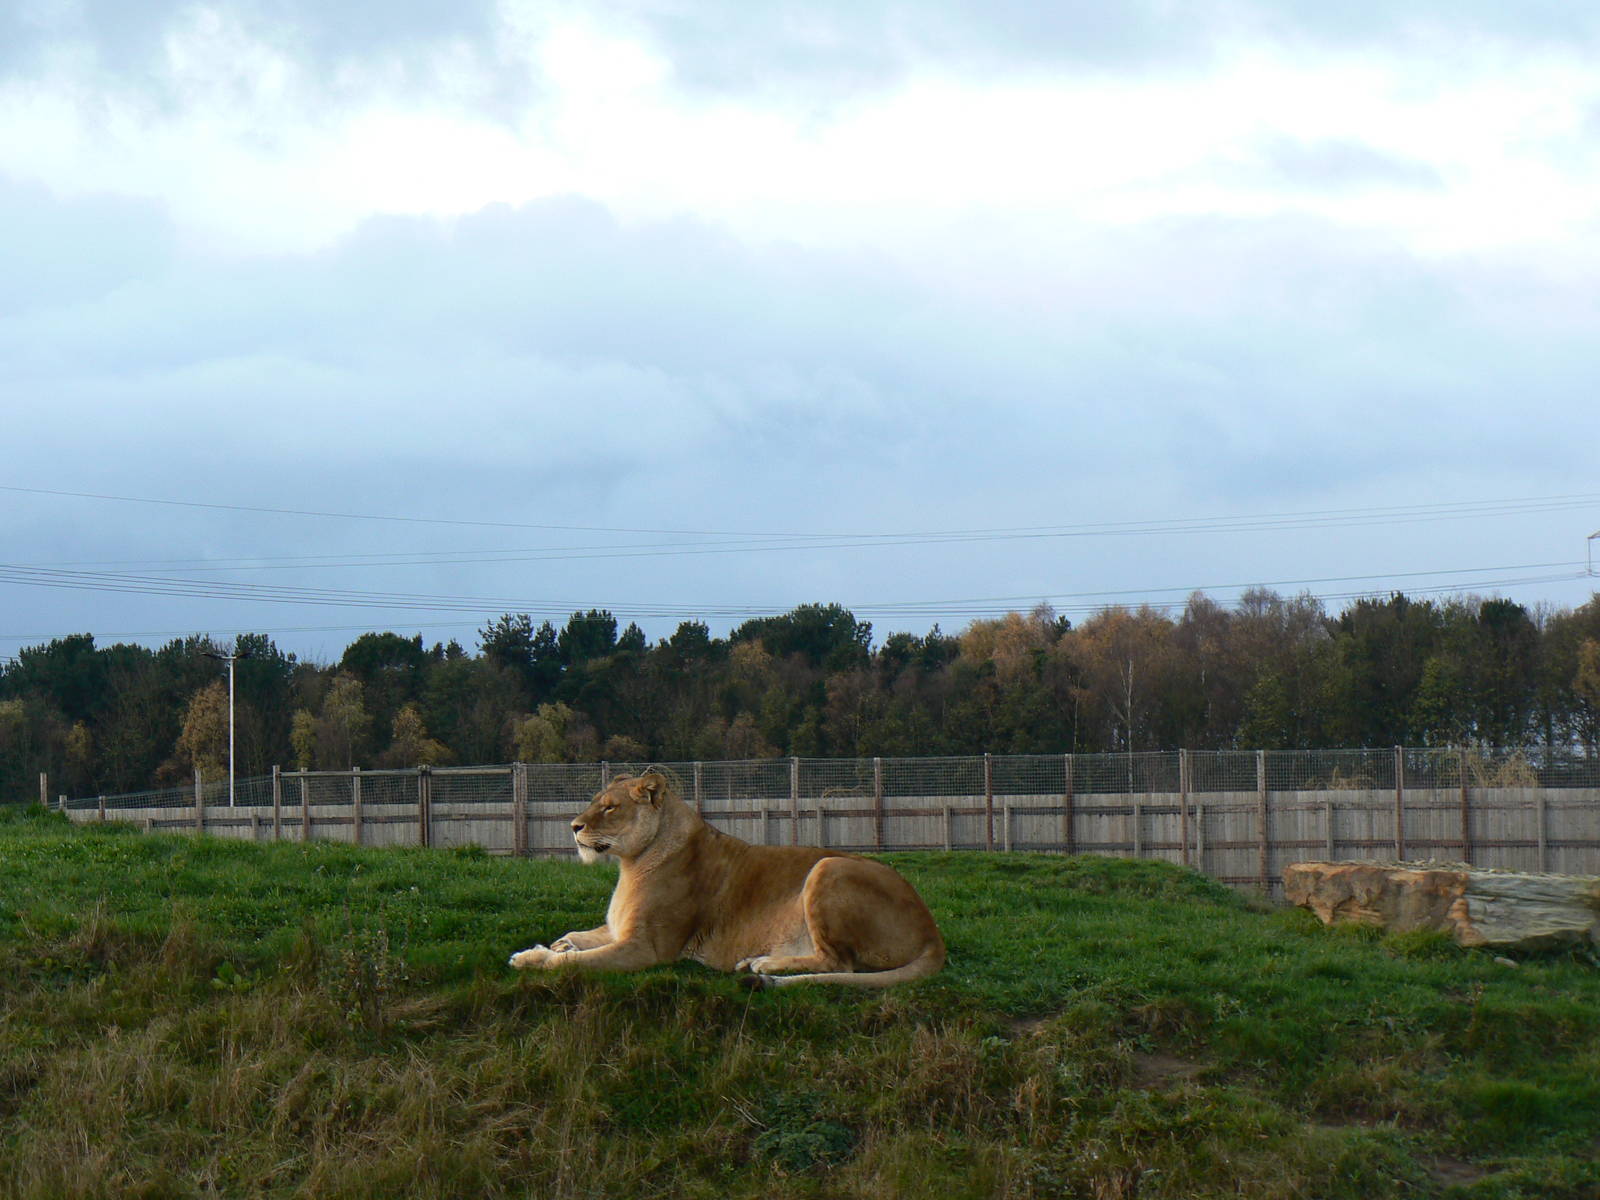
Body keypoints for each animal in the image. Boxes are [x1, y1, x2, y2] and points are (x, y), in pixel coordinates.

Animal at [508, 771, 944, 989]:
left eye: (610, 808)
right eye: (594, 803)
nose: (573, 826)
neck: (629, 863)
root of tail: (932, 932)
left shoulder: (647, 949)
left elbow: (572, 964)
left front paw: (535, 958)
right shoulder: (619, 930)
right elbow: (581, 937)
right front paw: (556, 944)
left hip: (828, 867)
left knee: (841, 964)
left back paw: (764, 964)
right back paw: (756, 961)